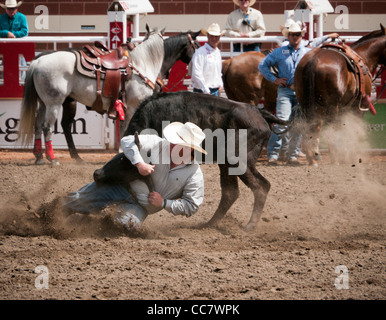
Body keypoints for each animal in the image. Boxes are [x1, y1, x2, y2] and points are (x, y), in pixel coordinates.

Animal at [294, 24, 384, 165]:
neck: (364, 56)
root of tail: (313, 61)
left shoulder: (344, 108)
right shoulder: (359, 107)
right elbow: (352, 129)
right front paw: (351, 156)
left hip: (306, 103)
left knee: (312, 127)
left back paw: (312, 158)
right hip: (332, 106)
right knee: (330, 129)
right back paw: (334, 158)